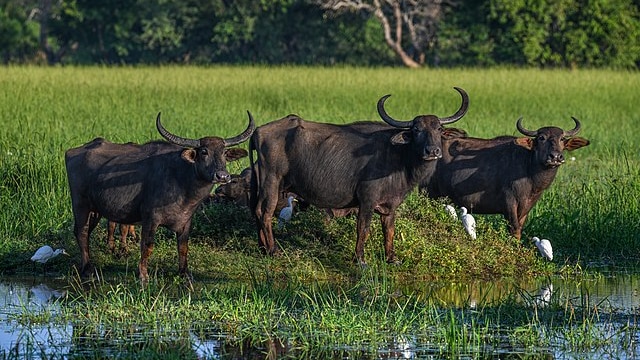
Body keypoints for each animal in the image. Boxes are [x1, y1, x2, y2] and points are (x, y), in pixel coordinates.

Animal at [65, 112, 255, 282]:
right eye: (204, 152)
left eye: (224, 152)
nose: (222, 176)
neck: (182, 181)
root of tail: (73, 151)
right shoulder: (150, 218)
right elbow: (147, 246)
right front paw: (143, 275)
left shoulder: (186, 221)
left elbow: (183, 247)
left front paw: (185, 273)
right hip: (81, 205)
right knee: (82, 232)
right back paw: (87, 268)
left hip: (96, 209)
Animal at [250, 87, 470, 264]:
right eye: (416, 130)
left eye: (438, 128)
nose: (432, 151)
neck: (399, 157)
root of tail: (258, 131)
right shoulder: (367, 200)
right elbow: (363, 228)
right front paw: (360, 259)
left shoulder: (390, 205)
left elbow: (389, 230)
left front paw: (392, 258)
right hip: (272, 181)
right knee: (265, 212)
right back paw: (273, 250)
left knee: (256, 210)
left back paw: (262, 248)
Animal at [420, 116, 592, 239]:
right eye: (541, 138)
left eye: (561, 138)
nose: (555, 157)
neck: (529, 172)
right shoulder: (509, 203)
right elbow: (514, 229)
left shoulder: (527, 207)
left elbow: (519, 229)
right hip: (429, 194)